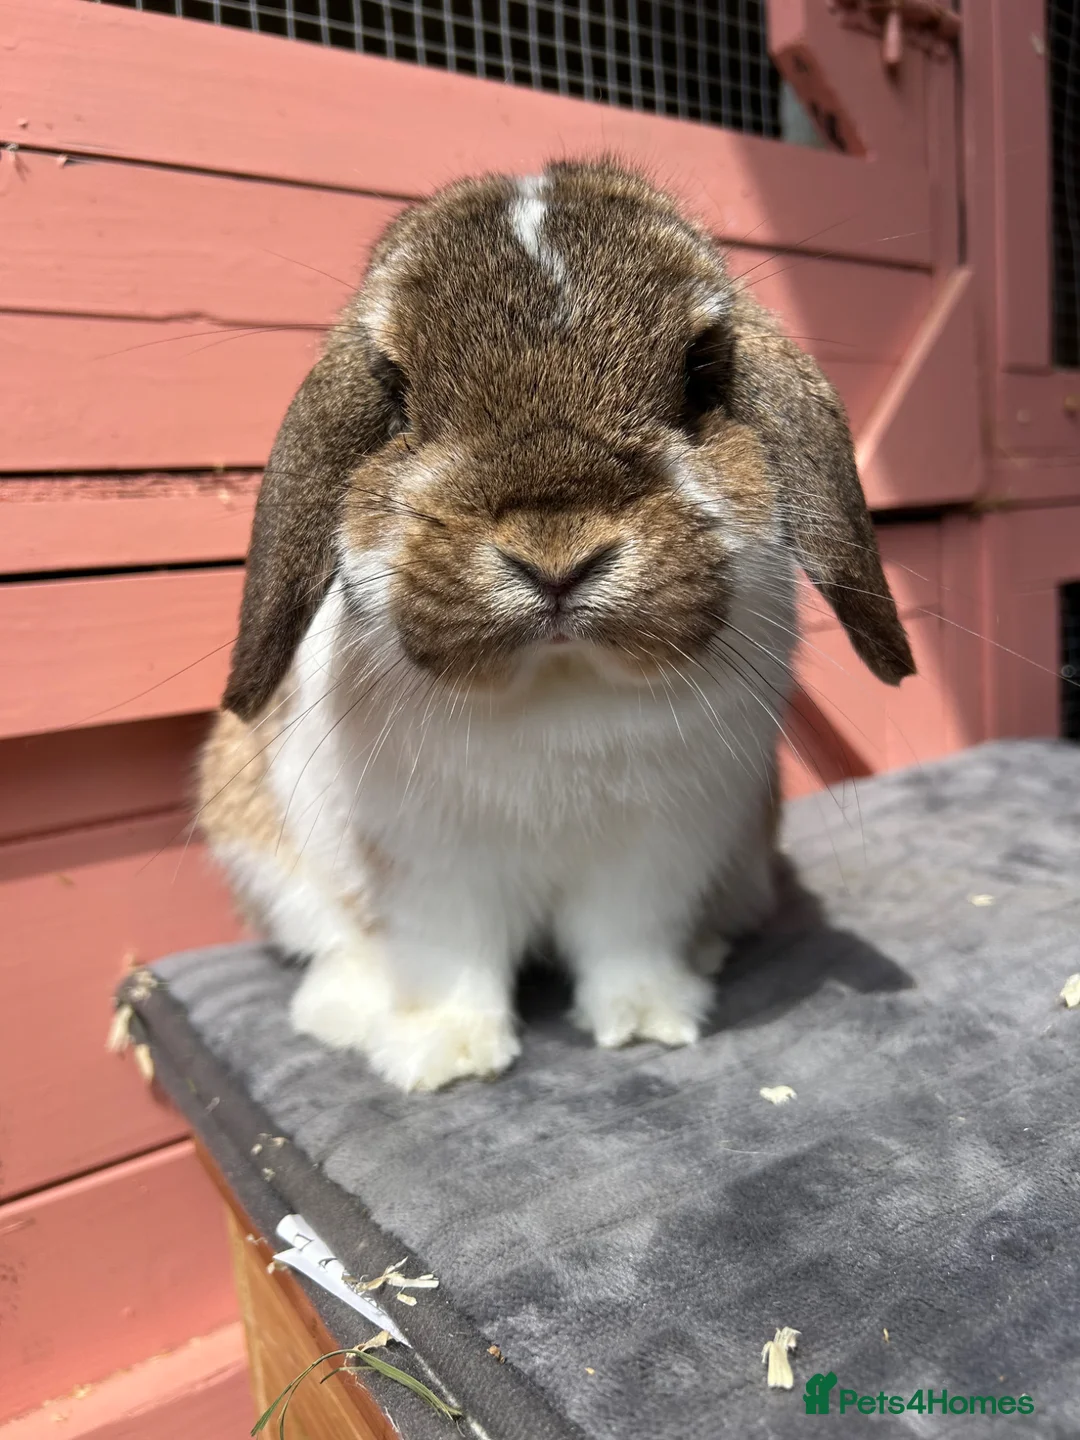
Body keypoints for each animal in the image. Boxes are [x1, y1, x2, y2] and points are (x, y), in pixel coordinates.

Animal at [198, 160, 913, 1093]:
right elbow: (449, 960)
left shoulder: (657, 852)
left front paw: (649, 1021)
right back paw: (344, 1006)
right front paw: (445, 1056)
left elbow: (626, 944)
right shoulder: (428, 869)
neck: (557, 683)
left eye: (700, 373)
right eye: (394, 391)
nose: (557, 556)